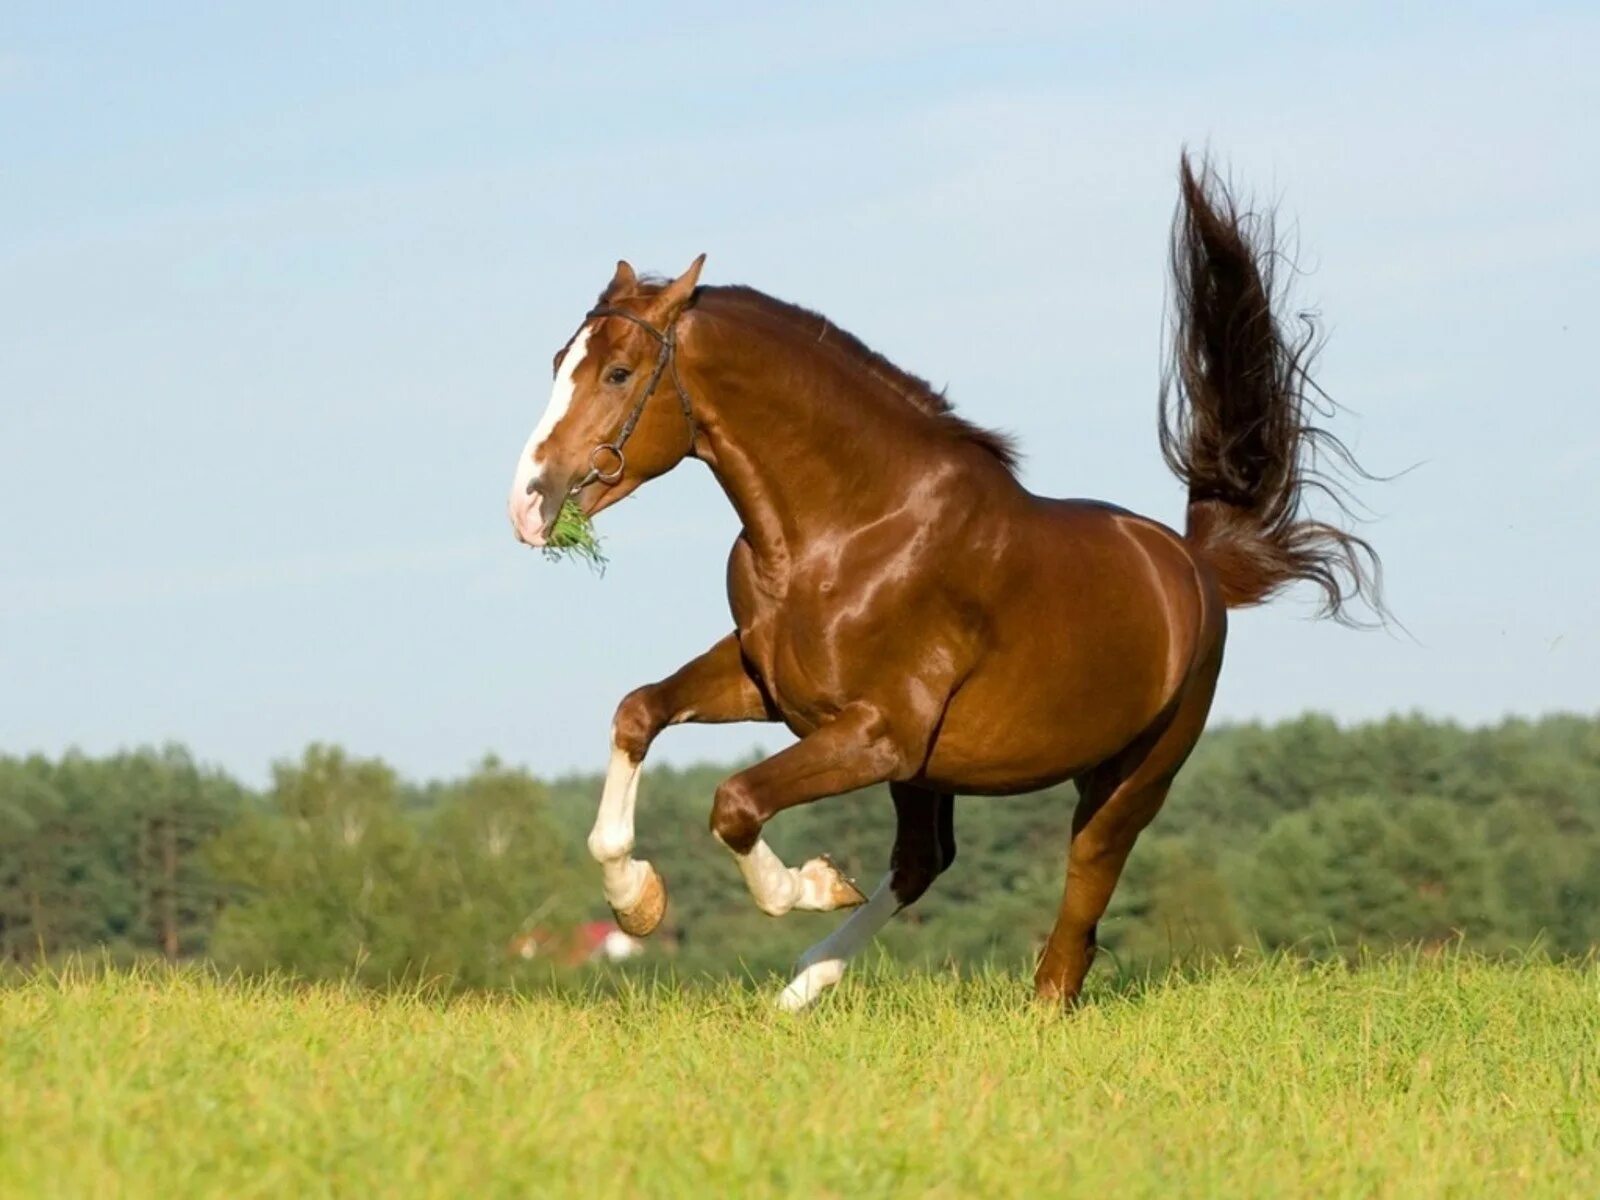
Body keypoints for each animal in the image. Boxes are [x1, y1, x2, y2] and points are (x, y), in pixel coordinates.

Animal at [508, 155, 1376, 1011]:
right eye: (557, 365)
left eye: (619, 373)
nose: (529, 503)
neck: (848, 530)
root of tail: (1196, 567)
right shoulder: (774, 688)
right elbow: (638, 713)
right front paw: (637, 900)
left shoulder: (879, 732)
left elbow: (736, 802)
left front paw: (811, 883)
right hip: (933, 774)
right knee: (924, 861)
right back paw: (799, 993)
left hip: (1133, 774)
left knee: (1083, 882)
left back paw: (1031, 1001)